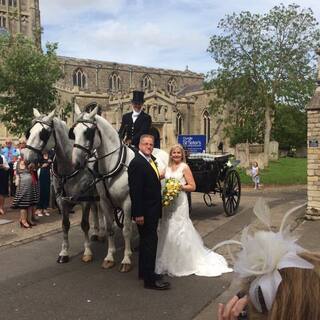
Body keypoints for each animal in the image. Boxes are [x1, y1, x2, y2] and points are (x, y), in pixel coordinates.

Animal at [24, 109, 106, 264]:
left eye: (43, 134)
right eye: (29, 132)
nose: (26, 160)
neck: (69, 167)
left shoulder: (84, 199)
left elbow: (84, 224)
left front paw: (87, 252)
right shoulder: (62, 200)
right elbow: (65, 225)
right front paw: (64, 252)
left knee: (100, 210)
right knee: (96, 210)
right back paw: (97, 232)